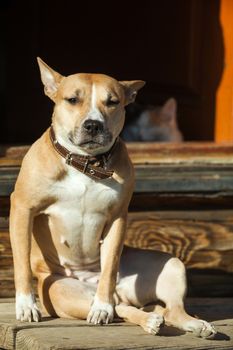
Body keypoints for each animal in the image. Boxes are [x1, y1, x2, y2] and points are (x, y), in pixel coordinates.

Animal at [10, 58, 216, 338]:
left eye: (112, 102)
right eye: (72, 100)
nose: (93, 124)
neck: (85, 164)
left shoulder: (117, 217)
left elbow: (109, 268)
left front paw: (102, 305)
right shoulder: (22, 208)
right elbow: (21, 261)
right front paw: (25, 305)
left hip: (171, 265)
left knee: (161, 308)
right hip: (65, 291)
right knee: (124, 308)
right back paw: (147, 320)